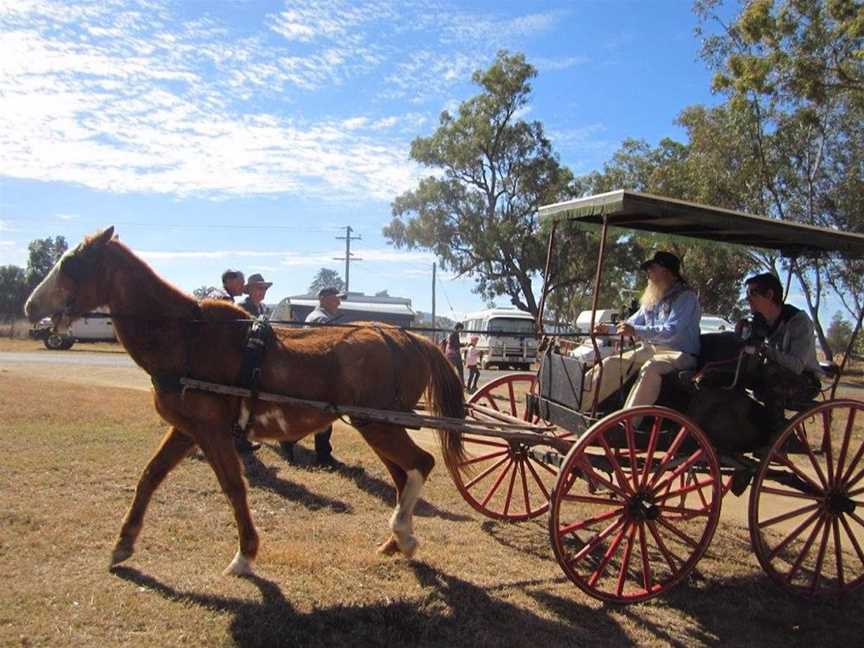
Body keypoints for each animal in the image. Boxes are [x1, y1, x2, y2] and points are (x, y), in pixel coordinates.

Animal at [22, 229, 466, 576]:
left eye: (71, 263)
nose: (30, 307)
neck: (187, 337)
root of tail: (412, 339)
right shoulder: (188, 429)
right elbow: (151, 475)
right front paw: (123, 545)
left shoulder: (212, 431)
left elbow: (234, 486)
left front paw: (244, 555)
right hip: (378, 425)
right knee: (404, 476)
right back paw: (396, 541)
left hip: (379, 424)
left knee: (420, 464)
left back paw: (402, 534)